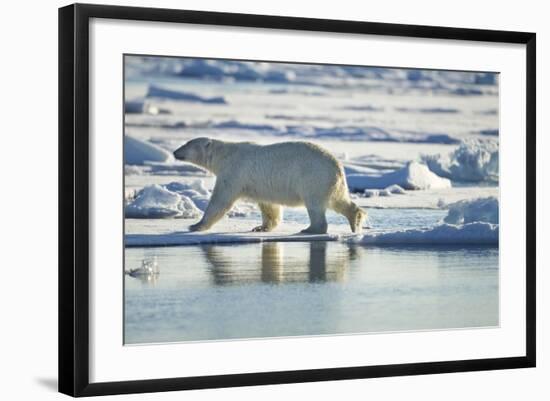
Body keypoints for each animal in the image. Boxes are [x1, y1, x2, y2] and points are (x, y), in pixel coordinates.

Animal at [175, 137, 368, 233]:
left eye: (186, 143)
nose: (175, 152)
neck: (224, 154)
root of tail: (337, 165)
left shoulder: (233, 172)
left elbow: (220, 201)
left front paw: (195, 225)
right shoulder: (262, 185)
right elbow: (269, 206)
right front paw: (260, 227)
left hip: (313, 177)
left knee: (315, 205)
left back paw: (310, 229)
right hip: (332, 182)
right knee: (339, 200)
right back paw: (355, 219)